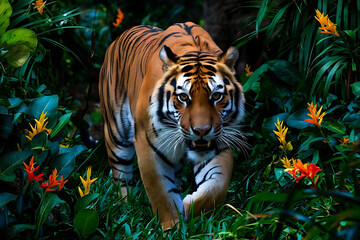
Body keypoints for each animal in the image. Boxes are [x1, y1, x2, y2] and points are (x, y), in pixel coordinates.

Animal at [97, 21, 245, 230]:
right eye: (183, 97)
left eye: (216, 96)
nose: (201, 131)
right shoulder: (148, 144)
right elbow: (161, 194)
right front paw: (173, 226)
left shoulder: (219, 144)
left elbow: (216, 187)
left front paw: (188, 206)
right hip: (116, 135)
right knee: (122, 177)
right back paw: (126, 207)